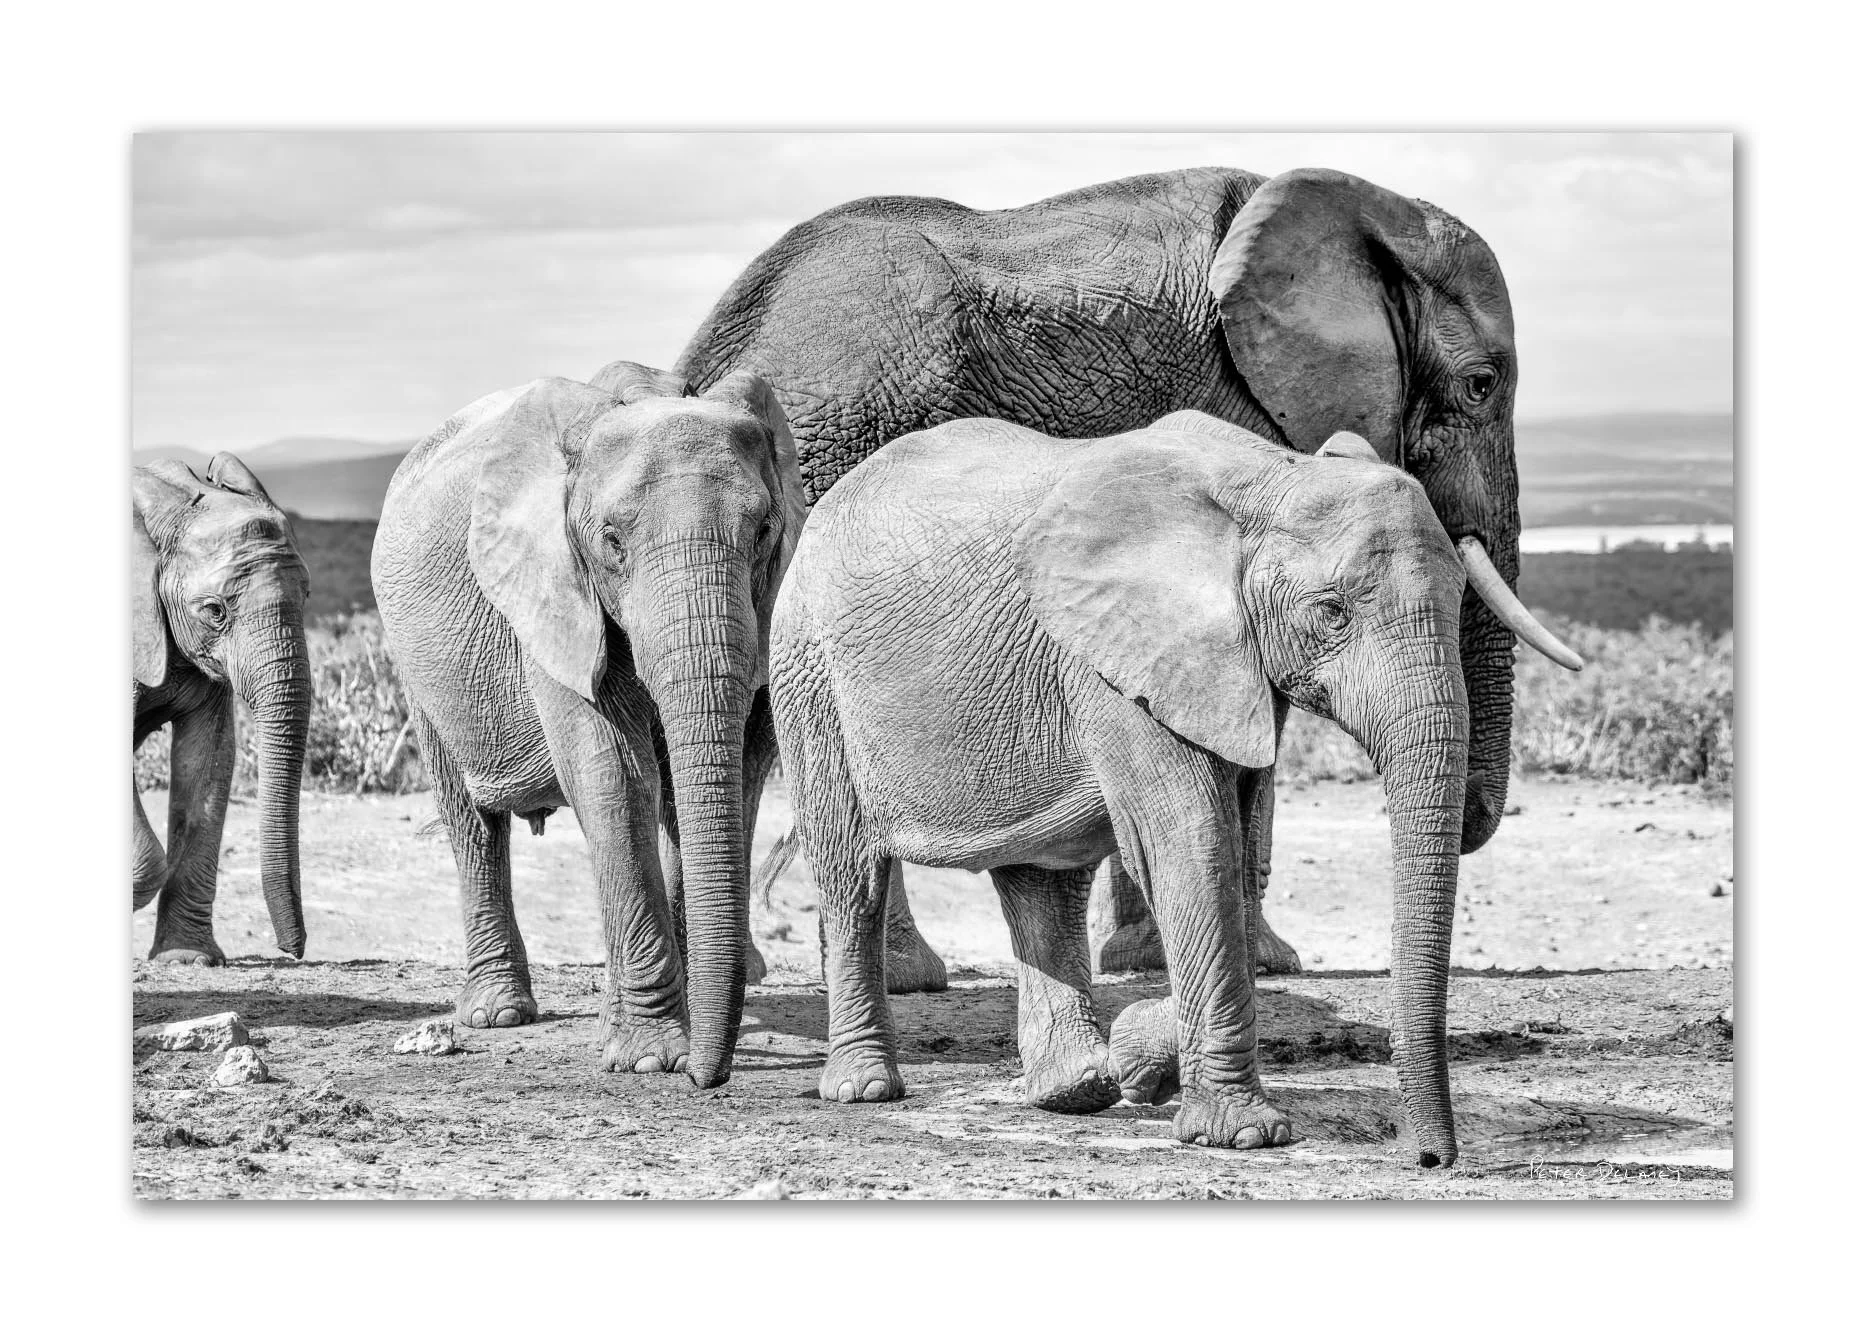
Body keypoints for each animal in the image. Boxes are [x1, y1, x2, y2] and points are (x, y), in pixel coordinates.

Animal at [370, 362, 805, 1088]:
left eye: (765, 532)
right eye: (612, 541)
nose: (707, 1077)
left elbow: (733, 777)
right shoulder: (552, 590)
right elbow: (614, 777)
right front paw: (653, 1057)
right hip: (415, 663)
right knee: (470, 820)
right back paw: (497, 1015)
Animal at [679, 165, 1580, 989]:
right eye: (1482, 384)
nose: (1474, 816)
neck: (1372, 212)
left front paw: (1153, 957)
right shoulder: (1241, 413)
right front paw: (1256, 962)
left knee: (748, 718)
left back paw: (747, 970)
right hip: (845, 443)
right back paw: (904, 976)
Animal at [770, 413, 1472, 1164]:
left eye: (1463, 596)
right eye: (1332, 611)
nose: (1429, 1158)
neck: (1270, 475)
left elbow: (1236, 853)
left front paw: (1140, 1058)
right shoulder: (1118, 663)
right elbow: (1193, 848)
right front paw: (1243, 1134)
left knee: (1044, 885)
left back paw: (1077, 1089)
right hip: (809, 671)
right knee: (850, 874)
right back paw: (865, 1089)